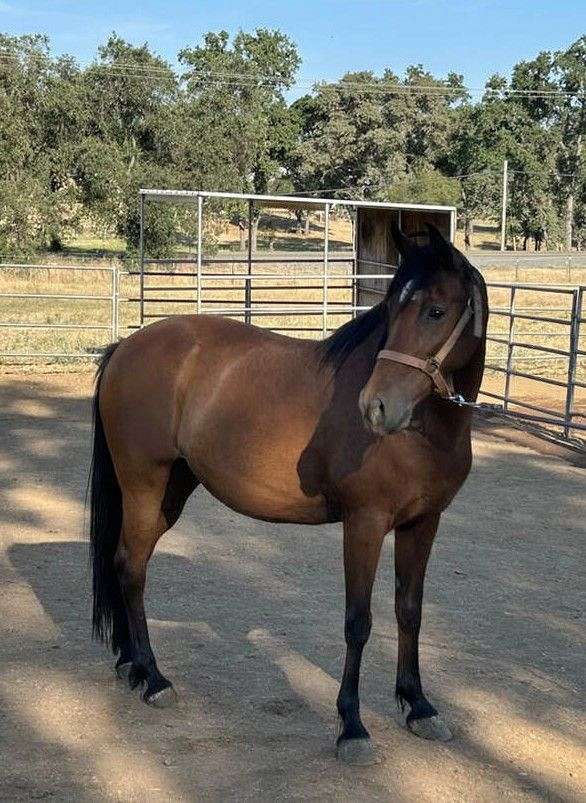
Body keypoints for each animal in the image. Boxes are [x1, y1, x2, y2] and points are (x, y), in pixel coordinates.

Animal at [89, 223, 488, 765]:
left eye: (436, 311)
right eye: (391, 311)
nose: (376, 407)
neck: (425, 432)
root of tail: (124, 348)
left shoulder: (423, 522)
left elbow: (410, 610)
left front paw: (419, 706)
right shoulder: (364, 524)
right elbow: (358, 621)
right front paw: (352, 726)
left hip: (169, 493)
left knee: (126, 562)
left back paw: (130, 664)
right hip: (143, 485)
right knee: (132, 568)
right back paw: (153, 678)